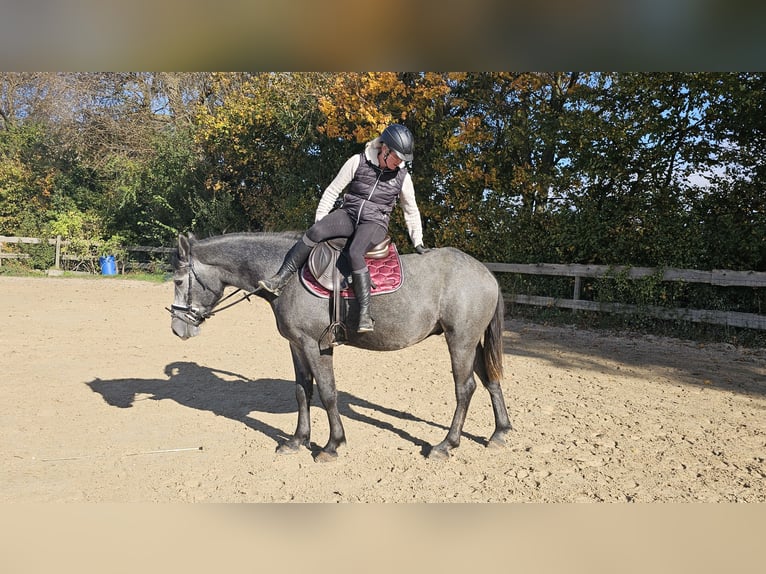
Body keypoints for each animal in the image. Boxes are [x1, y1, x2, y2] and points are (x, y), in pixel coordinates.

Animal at [171, 232, 512, 462]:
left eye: (177, 281)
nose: (177, 328)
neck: (286, 275)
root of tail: (486, 273)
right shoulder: (296, 345)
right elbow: (302, 391)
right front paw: (297, 440)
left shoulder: (315, 345)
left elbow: (327, 392)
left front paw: (332, 445)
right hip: (473, 342)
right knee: (490, 380)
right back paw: (500, 433)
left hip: (460, 340)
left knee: (465, 389)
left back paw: (446, 444)